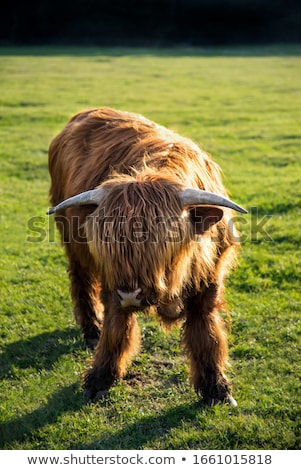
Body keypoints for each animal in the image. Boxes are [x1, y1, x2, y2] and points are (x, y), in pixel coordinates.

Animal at [47, 105, 246, 404]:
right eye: (108, 241)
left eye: (165, 239)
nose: (130, 294)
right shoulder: (112, 284)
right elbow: (116, 330)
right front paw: (99, 380)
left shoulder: (209, 280)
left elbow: (207, 334)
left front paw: (217, 389)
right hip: (71, 240)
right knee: (81, 279)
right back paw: (92, 330)